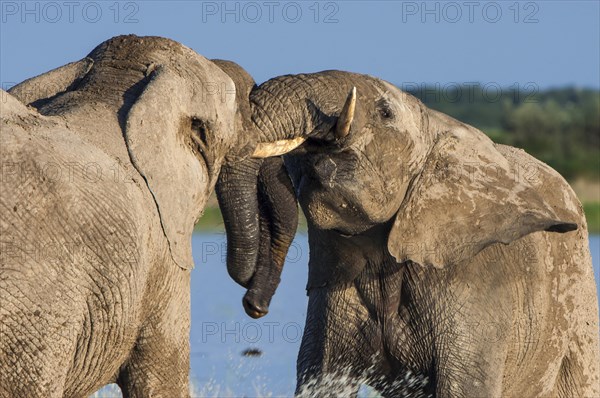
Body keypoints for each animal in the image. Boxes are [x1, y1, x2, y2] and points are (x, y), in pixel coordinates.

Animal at [219, 70, 600, 396]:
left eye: (385, 113)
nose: (254, 306)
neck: (433, 123)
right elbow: (323, 381)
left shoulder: (475, 287)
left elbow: (462, 388)